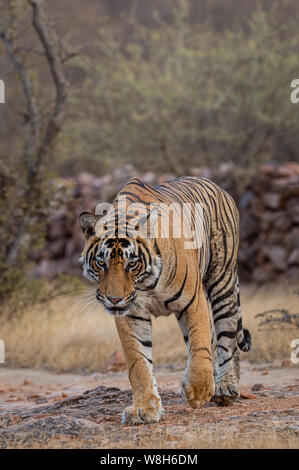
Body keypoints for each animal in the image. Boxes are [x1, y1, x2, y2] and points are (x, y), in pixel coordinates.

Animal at [78, 177, 252, 426]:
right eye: (101, 263)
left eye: (132, 264)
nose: (114, 299)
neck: (145, 284)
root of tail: (218, 187)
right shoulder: (131, 314)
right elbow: (138, 363)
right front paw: (144, 409)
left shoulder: (193, 301)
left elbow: (199, 346)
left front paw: (198, 391)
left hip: (222, 280)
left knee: (226, 336)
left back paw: (225, 388)